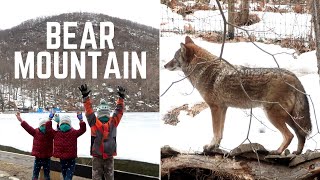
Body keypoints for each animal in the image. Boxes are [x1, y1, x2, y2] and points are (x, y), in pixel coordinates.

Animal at [166, 36, 312, 155]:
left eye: (174, 58)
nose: (164, 65)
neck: (204, 71)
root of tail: (293, 76)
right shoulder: (223, 108)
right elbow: (220, 132)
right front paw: (216, 146)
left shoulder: (215, 108)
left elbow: (215, 130)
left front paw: (210, 147)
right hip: (289, 117)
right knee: (300, 134)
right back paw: (297, 153)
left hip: (272, 115)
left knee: (289, 135)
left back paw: (277, 152)